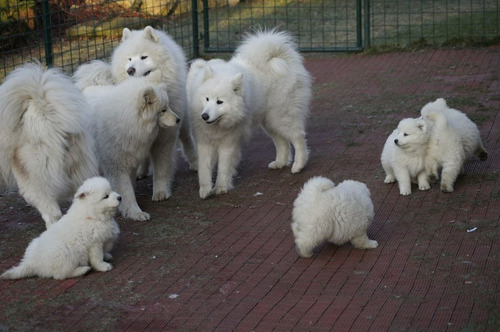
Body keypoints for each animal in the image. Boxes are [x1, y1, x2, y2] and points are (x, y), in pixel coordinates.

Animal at [83, 74, 181, 220]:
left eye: (168, 106)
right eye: (163, 110)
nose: (178, 119)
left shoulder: (131, 161)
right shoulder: (117, 167)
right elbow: (127, 192)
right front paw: (136, 212)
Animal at [110, 26, 196, 200]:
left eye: (144, 57)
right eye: (129, 59)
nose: (130, 70)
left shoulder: (166, 136)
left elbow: (162, 168)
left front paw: (161, 191)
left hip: (183, 121)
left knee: (187, 140)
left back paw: (195, 162)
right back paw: (141, 171)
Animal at [188, 29, 312, 200]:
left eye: (219, 102)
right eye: (206, 99)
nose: (204, 116)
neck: (218, 125)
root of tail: (279, 57)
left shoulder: (228, 143)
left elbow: (223, 167)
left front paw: (221, 187)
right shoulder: (204, 142)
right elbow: (204, 168)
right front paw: (205, 189)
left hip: (281, 117)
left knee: (298, 138)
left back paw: (298, 165)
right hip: (270, 121)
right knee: (282, 142)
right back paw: (280, 163)